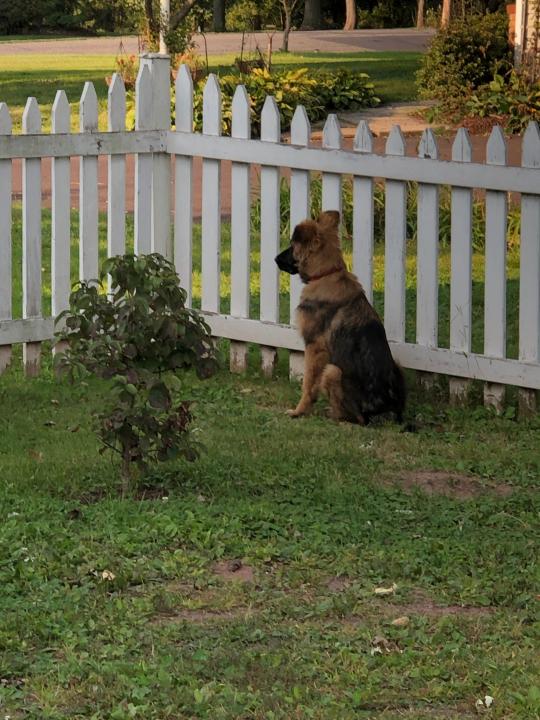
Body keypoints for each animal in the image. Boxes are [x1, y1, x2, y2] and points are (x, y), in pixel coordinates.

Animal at [276, 208, 402, 424]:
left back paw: (333, 414)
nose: (275, 259)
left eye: (293, 246)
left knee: (356, 419)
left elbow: (308, 385)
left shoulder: (314, 347)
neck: (326, 273)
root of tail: (384, 412)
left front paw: (299, 411)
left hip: (332, 371)